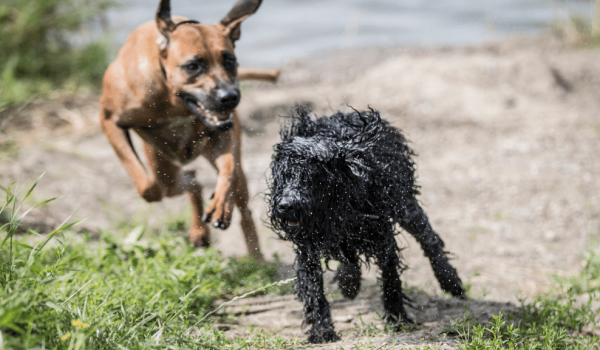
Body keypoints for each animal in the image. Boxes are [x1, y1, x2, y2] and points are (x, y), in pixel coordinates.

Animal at [101, 0, 274, 262]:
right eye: (193, 66)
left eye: (229, 60)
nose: (230, 97)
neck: (172, 98)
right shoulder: (110, 121)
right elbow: (148, 188)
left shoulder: (222, 133)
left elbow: (228, 168)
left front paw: (222, 205)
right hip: (163, 163)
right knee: (182, 183)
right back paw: (199, 230)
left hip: (229, 168)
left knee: (242, 204)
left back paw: (256, 257)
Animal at [266, 106, 464, 342]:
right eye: (284, 176)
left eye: (312, 176)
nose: (286, 206)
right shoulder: (308, 250)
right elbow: (315, 292)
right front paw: (322, 330)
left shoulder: (382, 238)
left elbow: (390, 279)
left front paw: (397, 318)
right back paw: (349, 283)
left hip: (405, 205)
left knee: (428, 238)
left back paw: (449, 280)